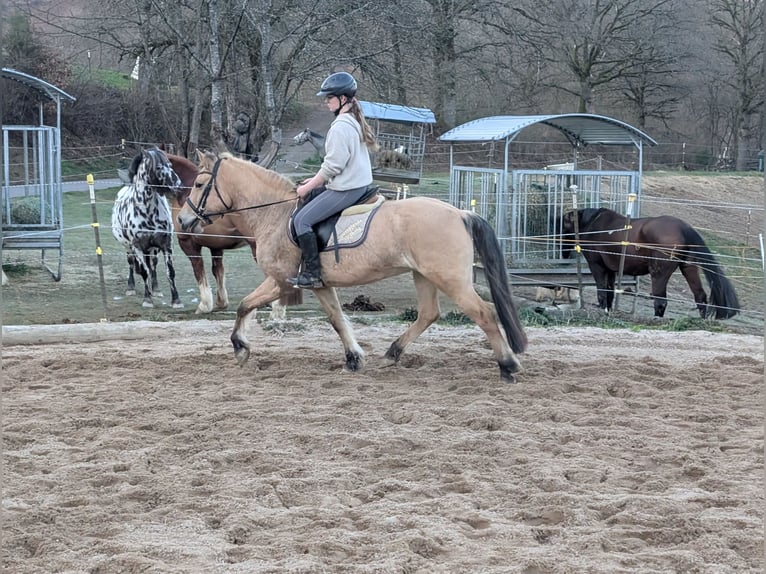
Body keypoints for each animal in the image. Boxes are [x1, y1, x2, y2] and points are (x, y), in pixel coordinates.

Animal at [111, 147, 183, 308]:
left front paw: (176, 300)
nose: (179, 186)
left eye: (170, 165)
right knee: (133, 265)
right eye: (158, 167)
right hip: (129, 248)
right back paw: (131, 288)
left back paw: (155, 289)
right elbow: (144, 272)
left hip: (153, 249)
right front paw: (147, 300)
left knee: (153, 267)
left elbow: (170, 272)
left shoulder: (166, 245)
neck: (148, 210)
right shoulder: (137, 246)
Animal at [178, 151, 528, 383]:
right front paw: (353, 359)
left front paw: (240, 347)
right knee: (429, 314)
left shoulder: (281, 280)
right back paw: (392, 354)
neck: (275, 214)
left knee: (484, 313)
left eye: (199, 184)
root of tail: (460, 213)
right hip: (424, 275)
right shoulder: (319, 284)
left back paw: (507, 365)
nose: (182, 220)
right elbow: (337, 319)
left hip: (450, 279)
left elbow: (244, 305)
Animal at [560, 207, 739, 319]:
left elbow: (602, 292)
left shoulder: (597, 266)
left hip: (658, 273)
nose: (563, 252)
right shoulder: (611, 270)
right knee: (700, 297)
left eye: (562, 225)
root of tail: (684, 227)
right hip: (689, 269)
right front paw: (608, 311)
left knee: (660, 301)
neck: (594, 225)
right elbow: (609, 292)